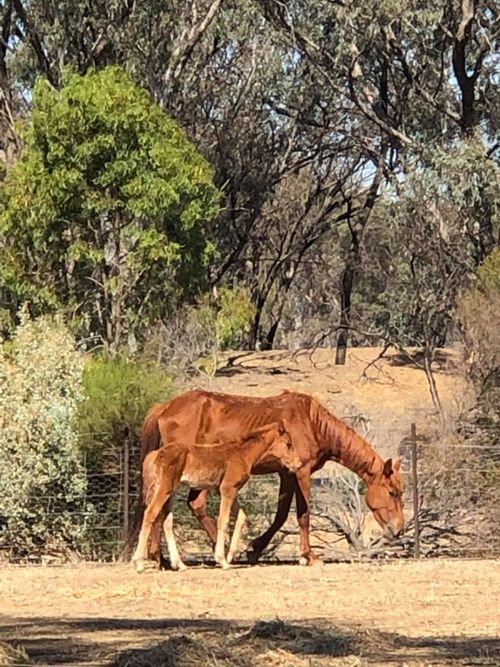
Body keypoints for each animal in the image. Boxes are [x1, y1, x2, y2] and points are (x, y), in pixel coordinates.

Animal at [131, 420, 300, 572]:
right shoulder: (228, 489)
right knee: (150, 513)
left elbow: (241, 517)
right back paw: (139, 563)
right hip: (163, 489)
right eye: (288, 443)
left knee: (167, 521)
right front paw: (222, 560)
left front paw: (231, 556)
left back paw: (180, 565)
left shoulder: (226, 489)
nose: (297, 464)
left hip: (172, 491)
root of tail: (154, 455)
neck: (241, 453)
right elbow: (223, 520)